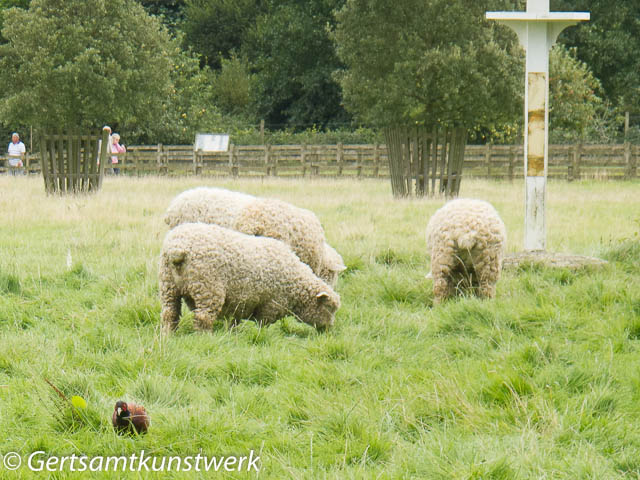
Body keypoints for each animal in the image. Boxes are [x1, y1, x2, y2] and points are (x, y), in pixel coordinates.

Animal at [159, 222, 340, 330]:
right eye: (329, 308)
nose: (329, 330)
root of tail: (178, 249)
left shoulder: (239, 302)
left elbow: (234, 322)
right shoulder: (271, 304)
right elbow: (263, 325)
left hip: (168, 287)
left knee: (169, 314)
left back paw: (169, 336)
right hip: (208, 289)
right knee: (203, 318)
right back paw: (205, 337)